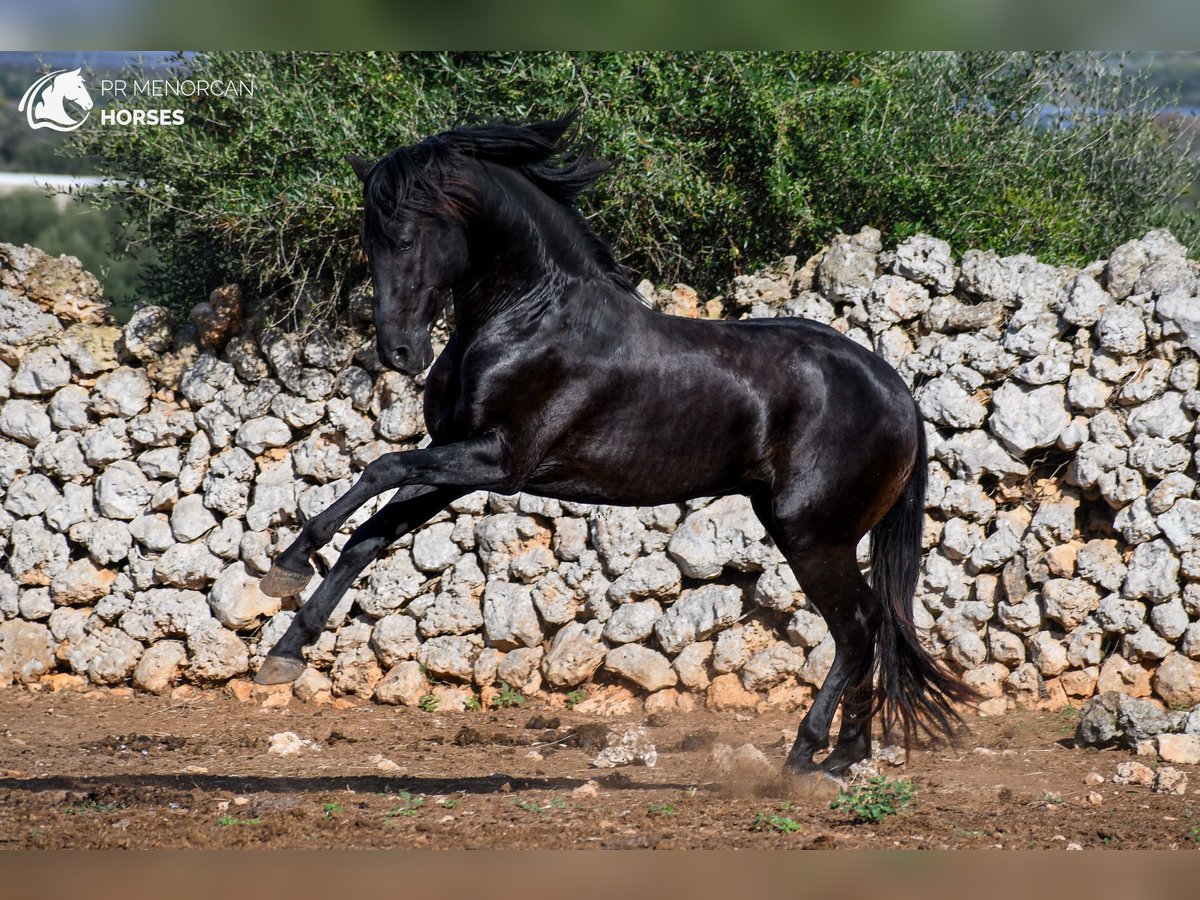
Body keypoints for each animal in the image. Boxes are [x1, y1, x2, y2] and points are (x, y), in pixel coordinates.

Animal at [255, 111, 974, 777]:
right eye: (367, 240)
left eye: (408, 234)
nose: (400, 352)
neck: (533, 316)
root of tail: (896, 391)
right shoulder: (459, 460)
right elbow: (371, 534)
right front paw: (285, 649)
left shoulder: (500, 459)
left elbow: (379, 467)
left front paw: (285, 564)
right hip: (810, 530)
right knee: (872, 626)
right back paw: (842, 757)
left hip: (814, 536)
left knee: (857, 631)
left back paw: (807, 756)